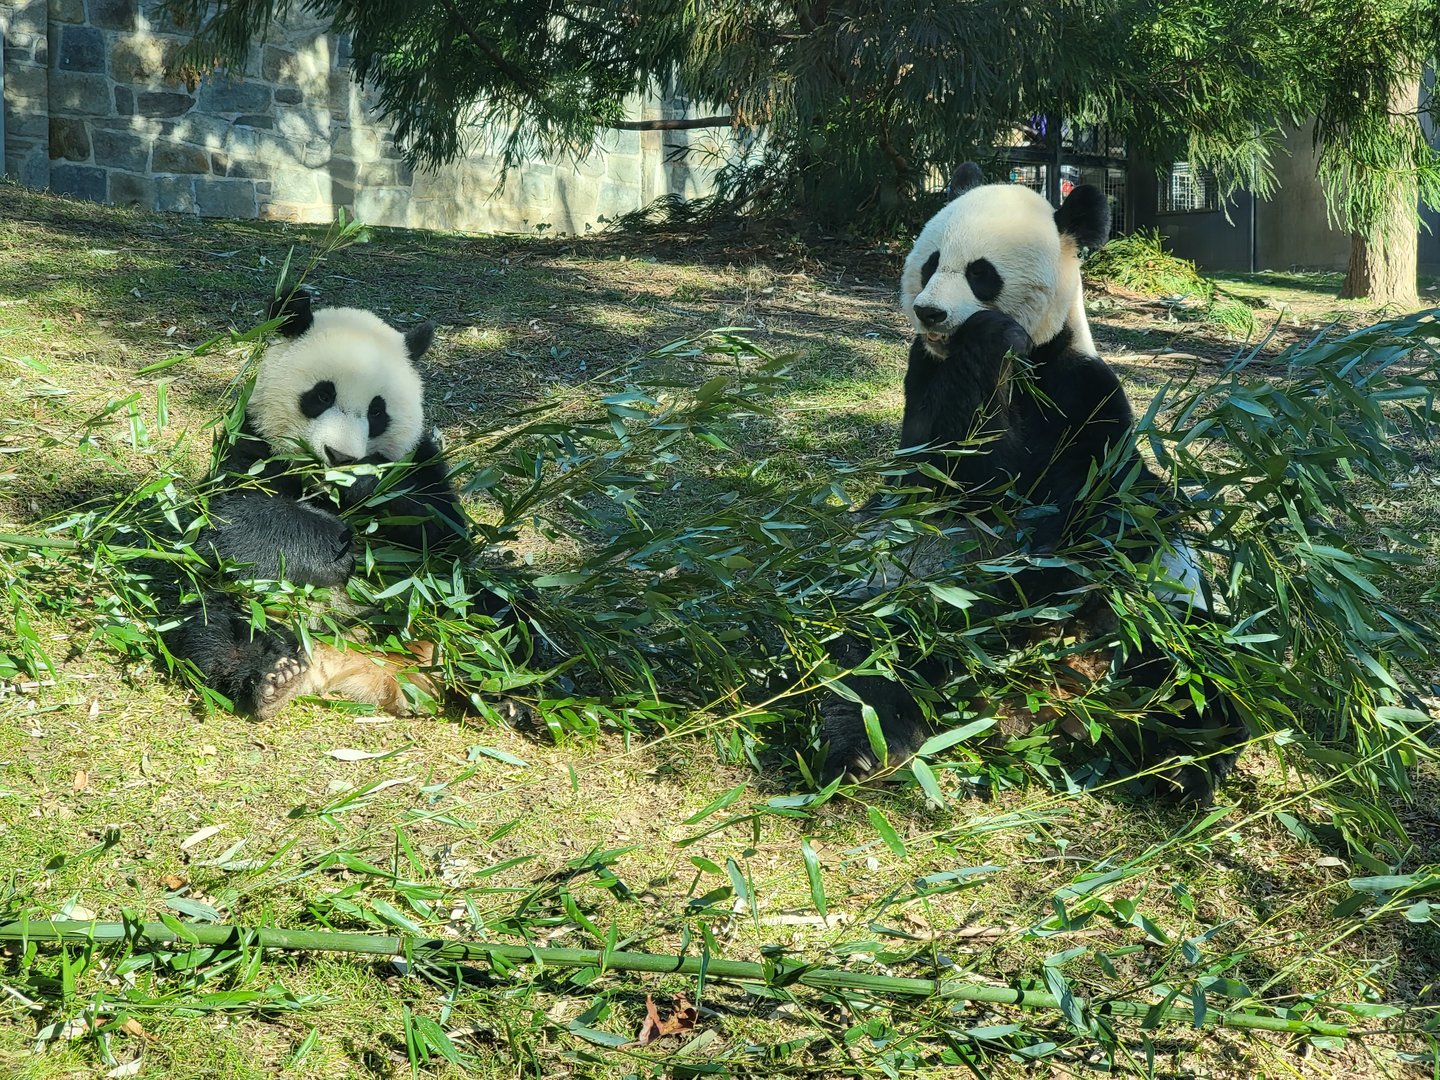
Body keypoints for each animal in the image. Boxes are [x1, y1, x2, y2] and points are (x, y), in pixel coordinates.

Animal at [163, 288, 468, 720]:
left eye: (378, 411)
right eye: (322, 395)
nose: (340, 456)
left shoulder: (421, 461)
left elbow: (443, 530)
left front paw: (365, 484)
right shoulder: (250, 446)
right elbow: (232, 523)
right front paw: (336, 548)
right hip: (254, 606)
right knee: (213, 623)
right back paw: (272, 679)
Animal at [819, 162, 1241, 801]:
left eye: (981, 273)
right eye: (930, 261)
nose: (929, 313)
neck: (1027, 360)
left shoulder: (1083, 391)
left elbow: (1100, 502)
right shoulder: (926, 378)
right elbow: (942, 472)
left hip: (1156, 619)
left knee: (1193, 674)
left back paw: (1187, 763)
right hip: (899, 587)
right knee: (865, 662)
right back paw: (864, 749)